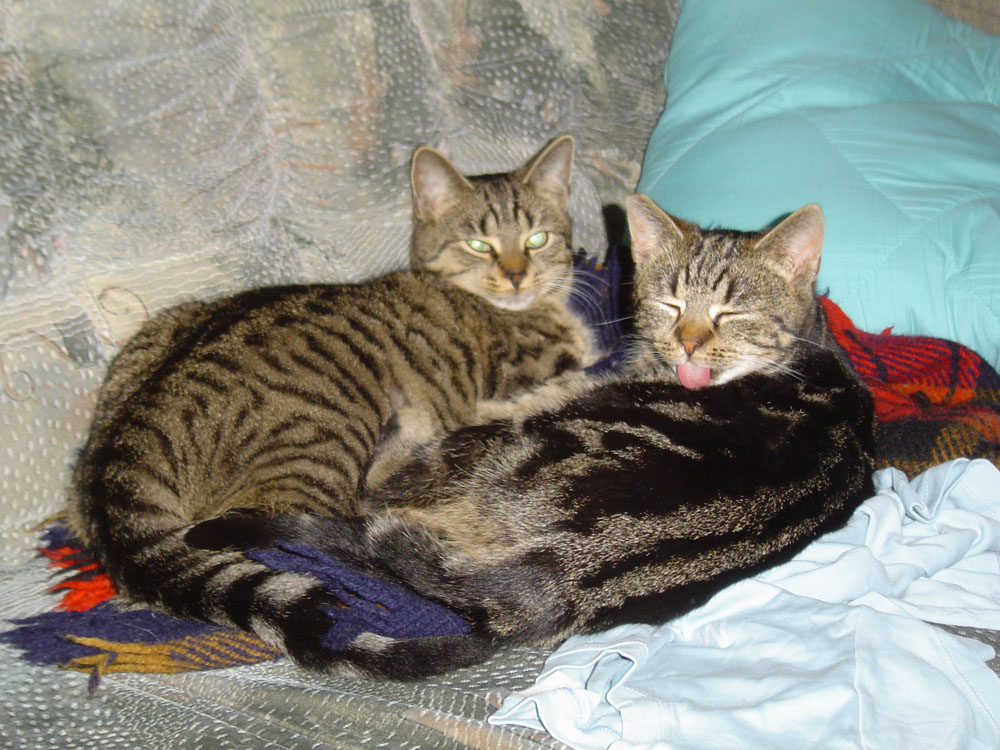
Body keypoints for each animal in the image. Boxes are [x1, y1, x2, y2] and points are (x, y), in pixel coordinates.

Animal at [190, 194, 877, 679]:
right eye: (671, 305)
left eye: (733, 313)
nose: (686, 345)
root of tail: (557, 578)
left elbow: (538, 389)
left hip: (477, 453)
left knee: (381, 481)